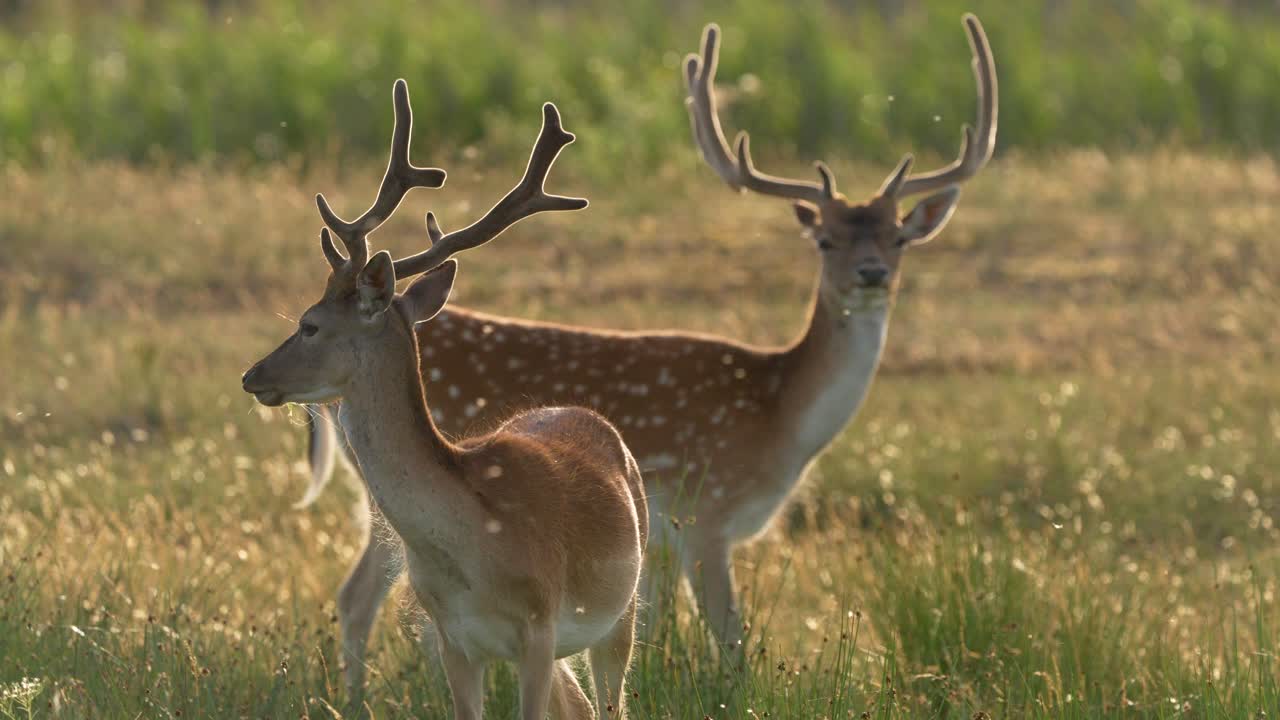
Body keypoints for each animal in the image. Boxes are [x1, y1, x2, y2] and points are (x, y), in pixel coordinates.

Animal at [242, 80, 648, 720]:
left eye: (309, 325)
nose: (253, 375)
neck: (473, 553)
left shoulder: (539, 627)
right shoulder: (454, 640)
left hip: (620, 612)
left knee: (610, 701)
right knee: (580, 706)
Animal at [300, 12, 996, 686]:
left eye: (900, 237)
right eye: (825, 239)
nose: (872, 275)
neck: (778, 417)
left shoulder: (653, 544)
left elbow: (652, 637)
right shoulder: (706, 512)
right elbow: (730, 643)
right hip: (390, 506)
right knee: (361, 599)